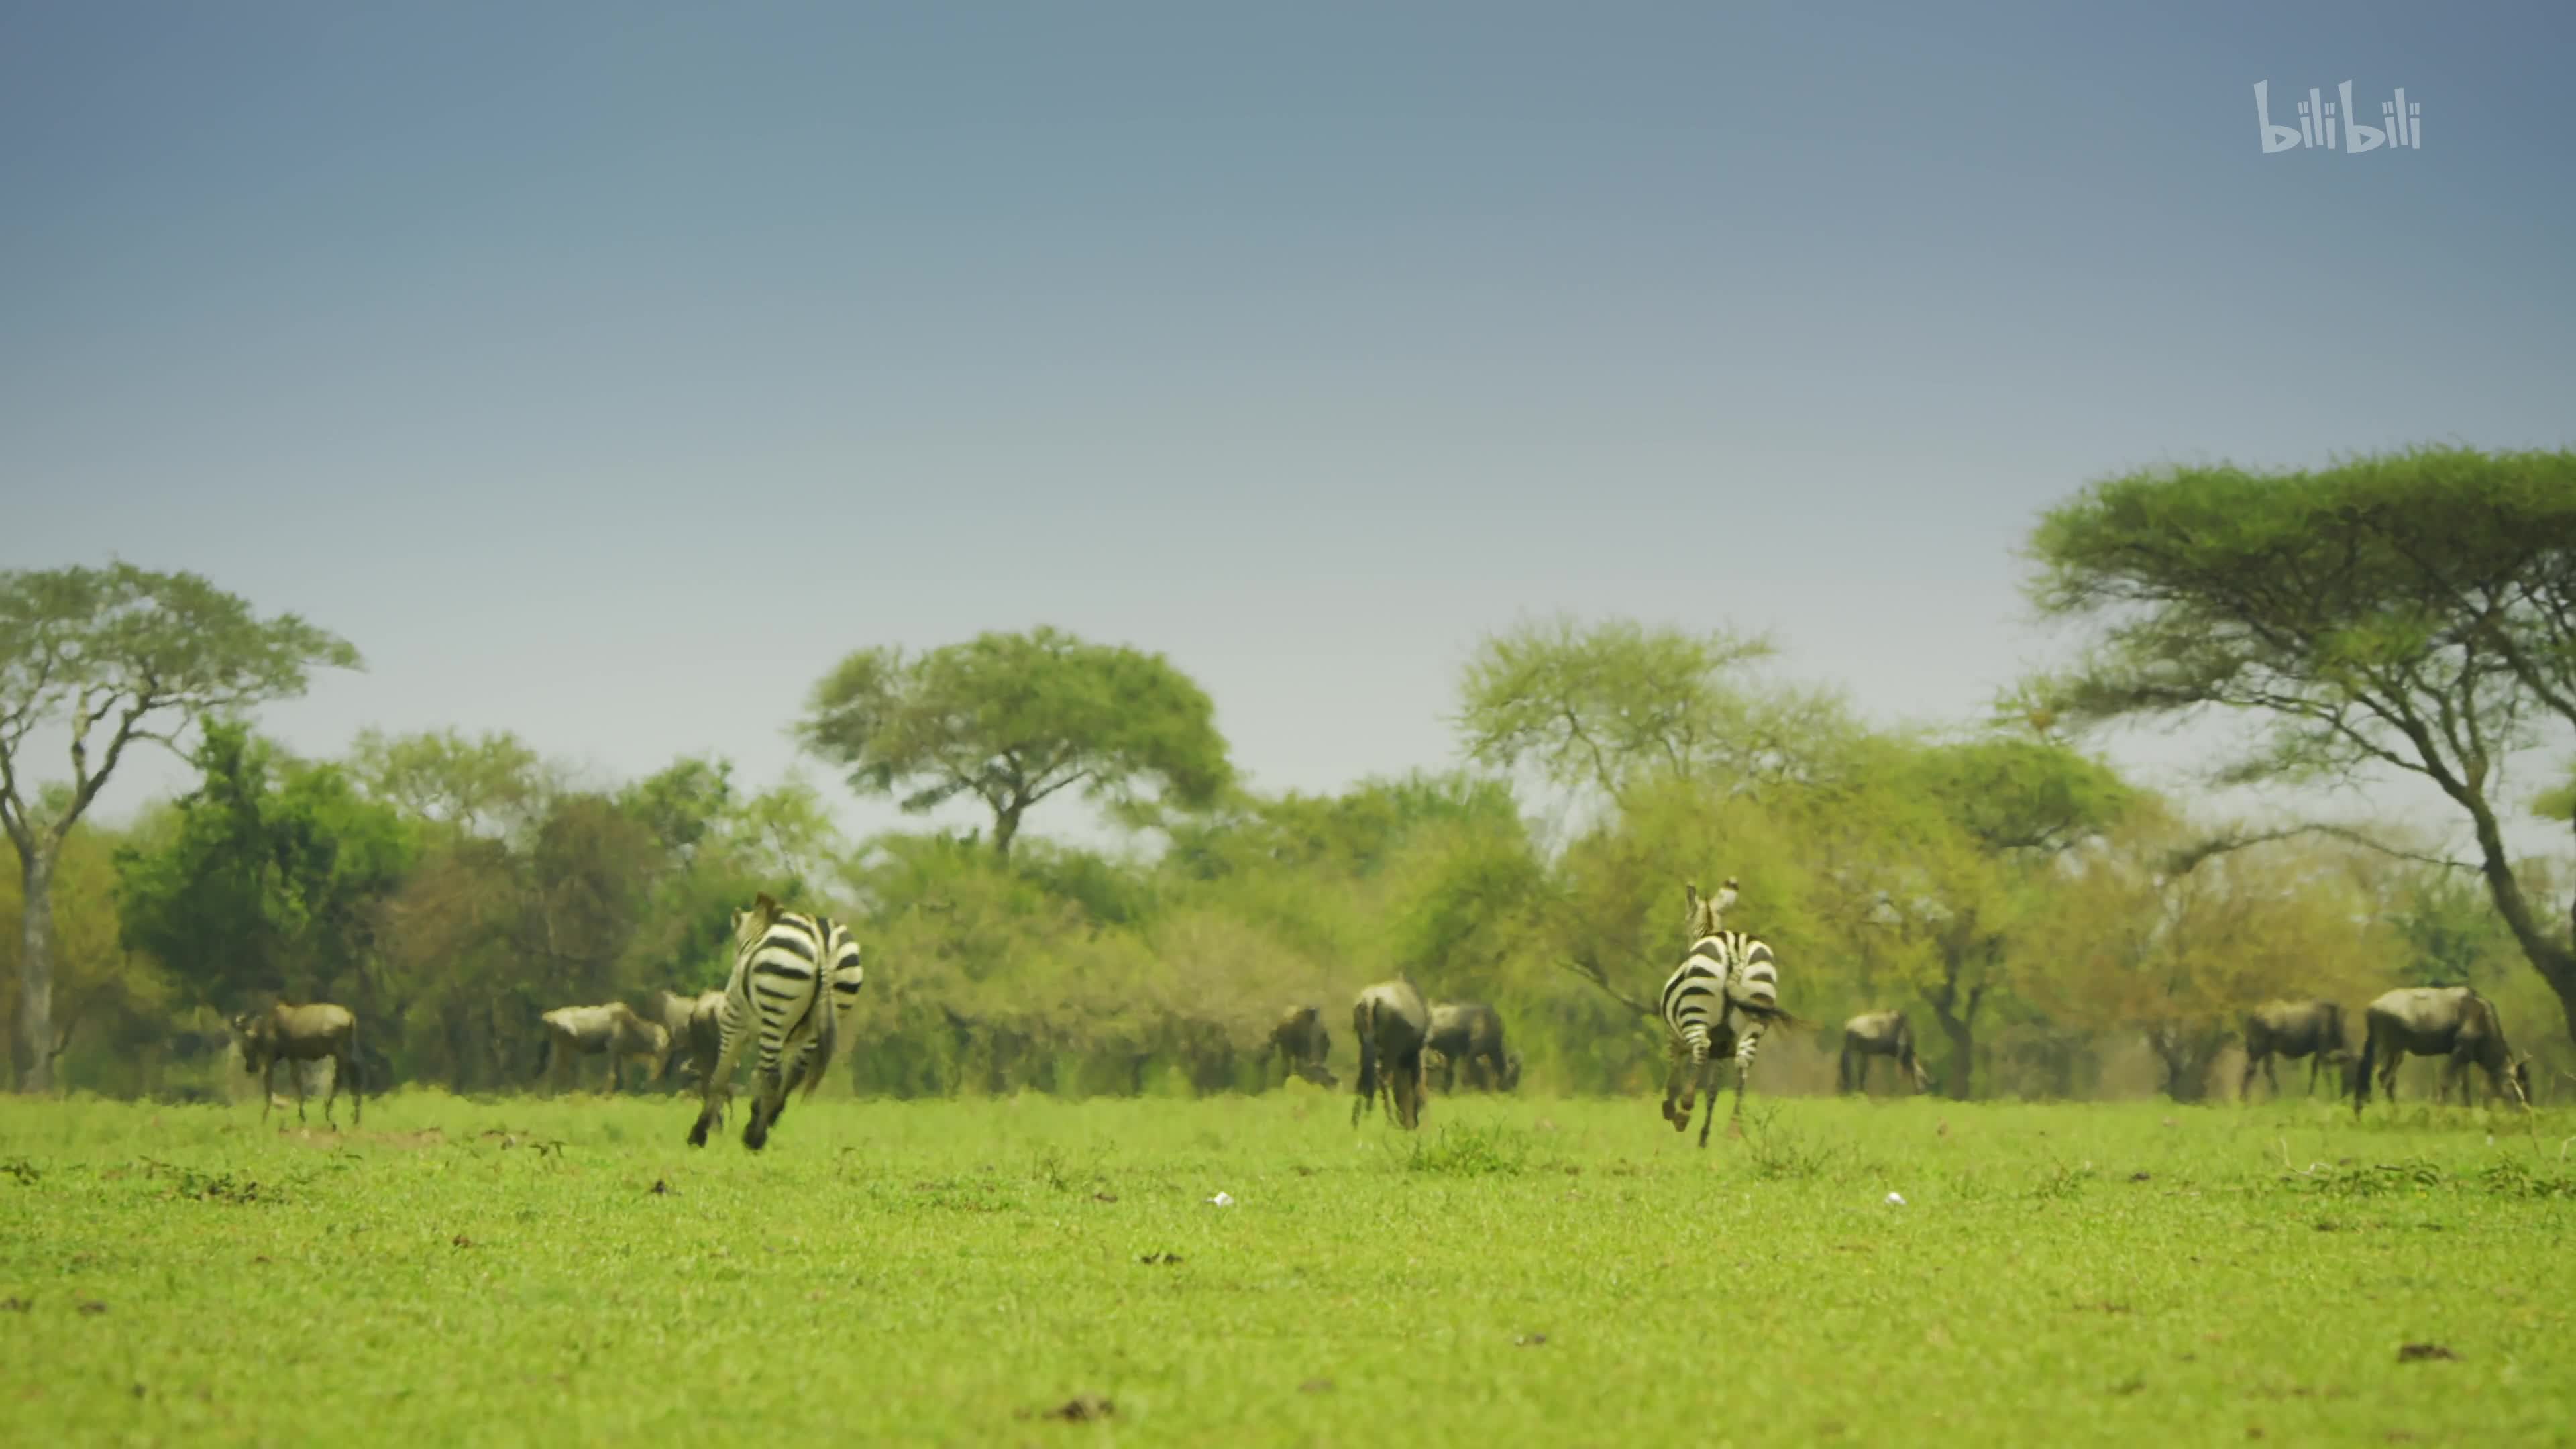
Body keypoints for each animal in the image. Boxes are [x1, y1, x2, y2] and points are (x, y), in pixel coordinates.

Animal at [685, 887, 865, 1144]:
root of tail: (824, 942)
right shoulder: (789, 1038)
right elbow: (758, 1074)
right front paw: (760, 1114)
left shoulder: (734, 1023)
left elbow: (720, 1076)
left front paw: (699, 1133)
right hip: (823, 1015)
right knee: (795, 1072)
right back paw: (761, 1127)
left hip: (776, 1010)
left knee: (774, 1076)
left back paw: (756, 1139)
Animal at [1658, 876, 1782, 1144]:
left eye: (1685, 921)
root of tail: (1737, 948)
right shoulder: (1723, 1047)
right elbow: (1713, 1090)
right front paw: (1704, 1136)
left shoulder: (1674, 1036)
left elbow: (1675, 1068)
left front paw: (1671, 1107)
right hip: (1753, 1020)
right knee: (1744, 1062)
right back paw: (1734, 1128)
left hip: (1696, 1015)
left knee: (1701, 1048)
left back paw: (1685, 1110)